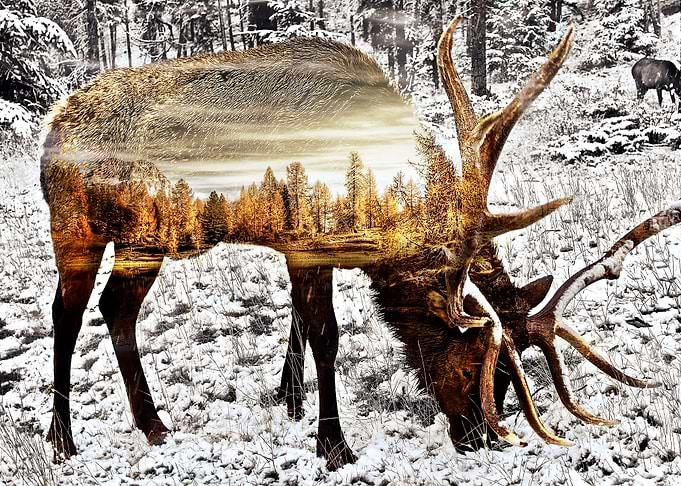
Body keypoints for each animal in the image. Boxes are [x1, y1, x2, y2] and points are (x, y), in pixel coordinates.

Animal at [40, 17, 681, 471]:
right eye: (480, 360)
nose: (479, 436)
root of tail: (54, 125)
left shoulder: (304, 246)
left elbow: (298, 323)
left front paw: (290, 399)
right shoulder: (305, 241)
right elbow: (325, 335)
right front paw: (333, 445)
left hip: (142, 240)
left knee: (115, 310)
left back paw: (152, 425)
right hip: (74, 227)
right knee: (66, 315)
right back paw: (62, 439)